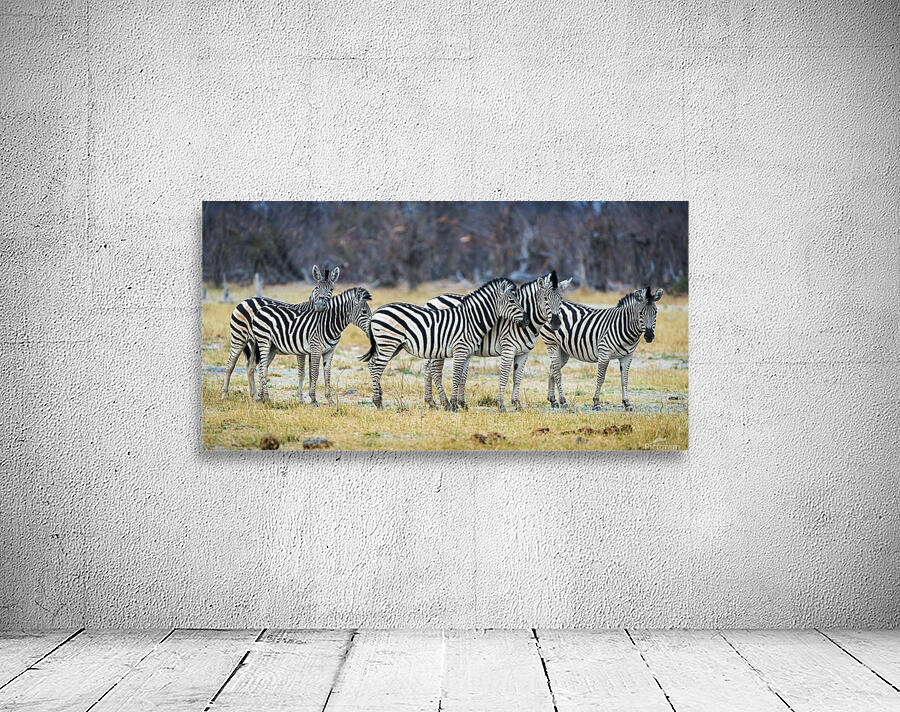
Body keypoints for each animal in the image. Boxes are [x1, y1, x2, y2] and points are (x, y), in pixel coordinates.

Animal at [220, 265, 340, 399]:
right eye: (317, 288)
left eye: (331, 289)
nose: (319, 306)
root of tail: (245, 300)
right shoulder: (301, 348)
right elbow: (302, 372)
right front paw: (302, 398)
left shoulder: (312, 348)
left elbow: (311, 373)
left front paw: (311, 396)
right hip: (239, 337)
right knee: (230, 365)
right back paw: (225, 395)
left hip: (255, 343)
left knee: (250, 366)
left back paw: (255, 396)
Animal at [360, 279, 527, 412]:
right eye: (512, 301)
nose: (526, 320)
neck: (471, 320)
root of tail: (378, 310)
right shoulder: (460, 349)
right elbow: (456, 376)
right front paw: (453, 405)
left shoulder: (467, 352)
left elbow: (462, 377)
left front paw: (458, 404)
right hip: (388, 343)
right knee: (376, 366)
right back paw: (378, 402)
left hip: (392, 346)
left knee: (373, 364)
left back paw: (379, 398)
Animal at [422, 271, 573, 412]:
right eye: (546, 299)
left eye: (561, 299)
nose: (556, 323)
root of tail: (432, 300)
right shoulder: (508, 348)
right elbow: (505, 374)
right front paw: (501, 404)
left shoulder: (524, 352)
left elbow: (517, 377)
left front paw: (517, 404)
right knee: (435, 371)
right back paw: (445, 403)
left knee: (428, 368)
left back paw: (431, 402)